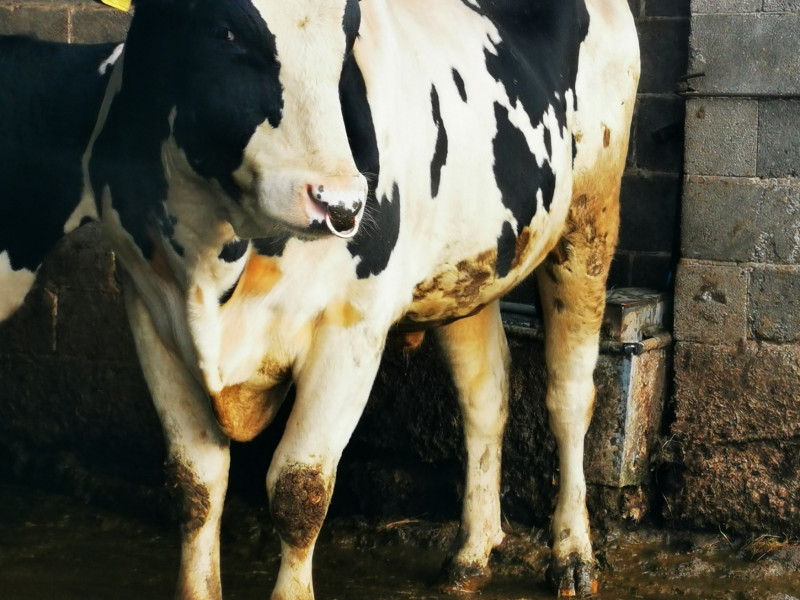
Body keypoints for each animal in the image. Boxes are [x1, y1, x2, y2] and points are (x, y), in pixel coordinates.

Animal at [0, 0, 640, 598]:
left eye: (347, 38)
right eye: (225, 30)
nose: (340, 202)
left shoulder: (351, 328)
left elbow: (299, 489)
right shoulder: (149, 313)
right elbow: (194, 484)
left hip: (592, 215)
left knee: (568, 397)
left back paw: (573, 555)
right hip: (467, 268)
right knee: (484, 396)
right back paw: (471, 554)